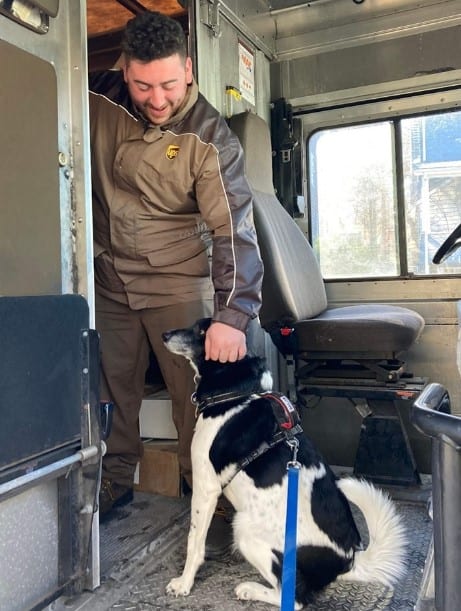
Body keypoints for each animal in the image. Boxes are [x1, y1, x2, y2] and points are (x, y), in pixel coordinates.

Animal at [163, 318, 406, 608]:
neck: (237, 395)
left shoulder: (205, 488)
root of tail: (347, 562)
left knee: (294, 597)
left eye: (202, 330)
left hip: (244, 530)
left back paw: (249, 589)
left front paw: (184, 583)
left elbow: (194, 543)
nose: (164, 334)